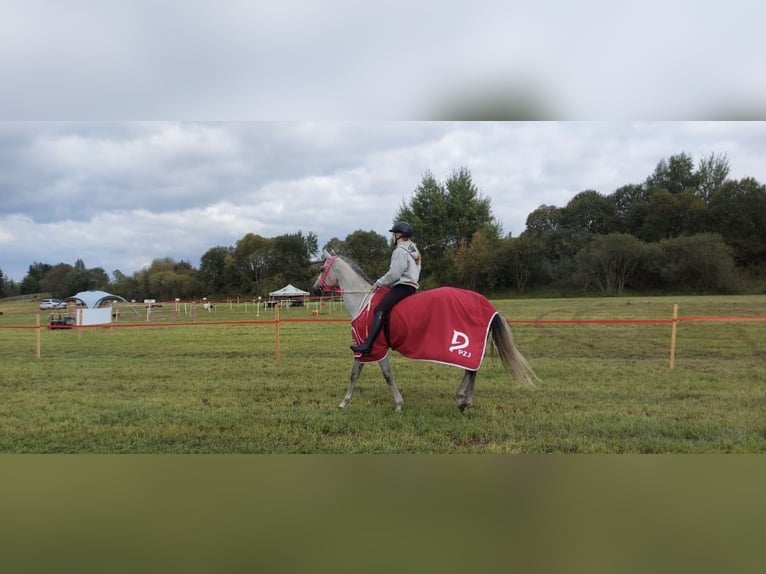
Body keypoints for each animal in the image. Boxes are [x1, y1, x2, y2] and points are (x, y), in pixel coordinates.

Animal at [311, 251, 538, 413]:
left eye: (322, 268)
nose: (314, 290)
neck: (363, 302)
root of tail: (486, 304)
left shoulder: (372, 347)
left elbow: (383, 375)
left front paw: (397, 404)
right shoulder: (367, 349)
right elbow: (357, 375)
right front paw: (345, 403)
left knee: (471, 369)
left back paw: (463, 401)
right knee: (472, 370)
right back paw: (464, 401)